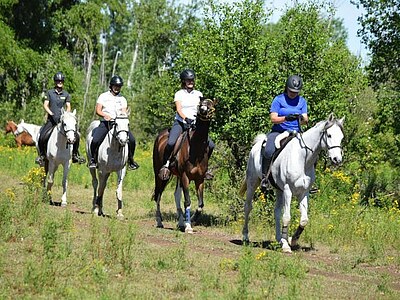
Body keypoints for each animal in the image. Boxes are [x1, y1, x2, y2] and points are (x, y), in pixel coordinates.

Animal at [152, 97, 216, 233]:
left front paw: (192, 219)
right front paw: (188, 226)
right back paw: (160, 222)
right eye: (201, 104)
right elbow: (187, 201)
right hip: (160, 175)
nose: (203, 110)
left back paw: (180, 222)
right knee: (158, 195)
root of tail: (161, 135)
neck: (196, 148)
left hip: (178, 176)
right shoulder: (186, 177)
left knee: (176, 195)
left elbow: (200, 204)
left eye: (211, 105)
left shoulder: (199, 179)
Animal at [239, 113, 346, 252]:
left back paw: (279, 238)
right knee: (248, 207)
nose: (337, 159)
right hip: (253, 182)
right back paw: (246, 237)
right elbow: (287, 217)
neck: (303, 158)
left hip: (279, 190)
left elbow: (304, 219)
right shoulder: (288, 190)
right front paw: (286, 245)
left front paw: (292, 239)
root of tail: (257, 145)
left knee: (277, 212)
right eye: (329, 135)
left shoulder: (303, 192)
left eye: (341, 137)